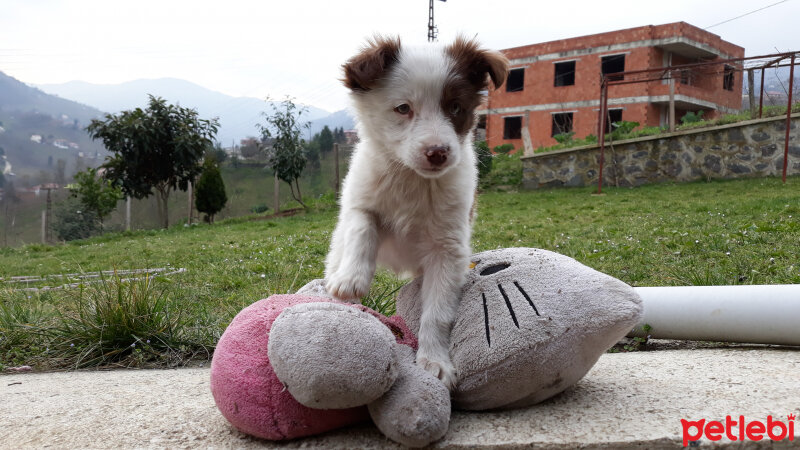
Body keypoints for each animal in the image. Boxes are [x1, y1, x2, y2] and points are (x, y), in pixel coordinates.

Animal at [324, 36, 506, 386]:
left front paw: (434, 361)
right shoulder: (360, 198)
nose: (437, 153)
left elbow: (436, 313)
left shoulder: (448, 250)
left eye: (455, 107)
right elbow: (362, 225)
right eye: (403, 108)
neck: (412, 177)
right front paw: (352, 279)